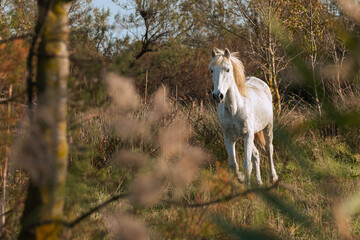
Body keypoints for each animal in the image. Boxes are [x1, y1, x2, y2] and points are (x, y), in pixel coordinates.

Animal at [210, 48, 280, 188]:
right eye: (212, 70)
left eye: (227, 69)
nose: (218, 96)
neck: (235, 109)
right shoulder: (229, 137)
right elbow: (233, 165)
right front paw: (241, 179)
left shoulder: (247, 135)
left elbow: (247, 165)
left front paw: (247, 186)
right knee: (256, 154)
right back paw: (259, 182)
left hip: (267, 127)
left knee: (269, 149)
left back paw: (273, 178)